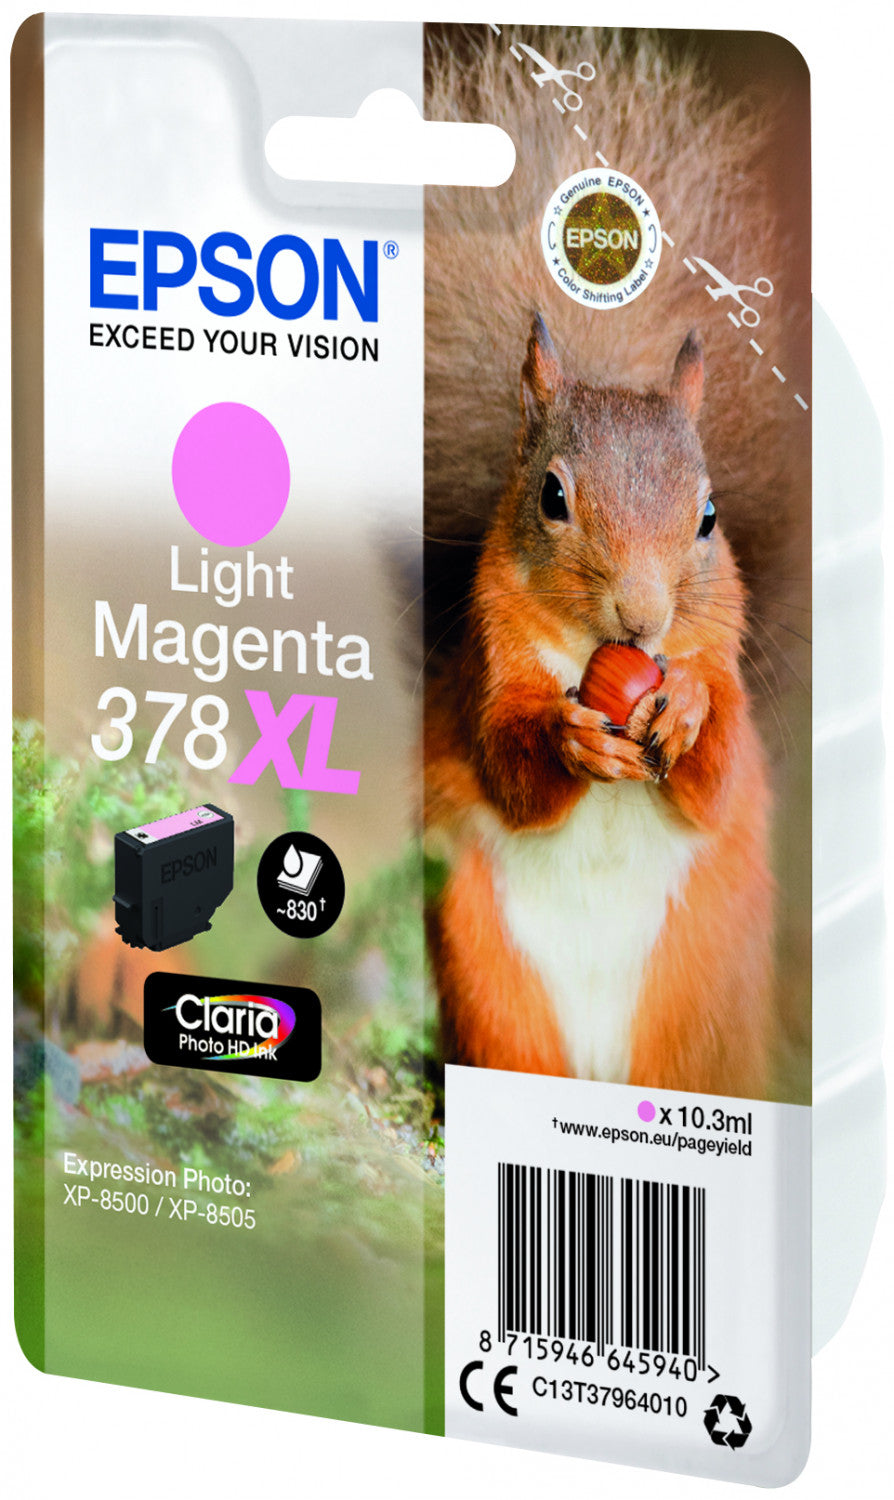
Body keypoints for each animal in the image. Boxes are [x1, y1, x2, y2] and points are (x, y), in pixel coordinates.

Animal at [422, 26, 811, 1098]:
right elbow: (508, 764)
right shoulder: (489, 664)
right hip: (490, 977)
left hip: (698, 1000)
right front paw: (569, 741)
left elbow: (717, 772)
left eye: (709, 517)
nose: (642, 620)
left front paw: (684, 709)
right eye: (552, 497)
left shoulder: (723, 656)